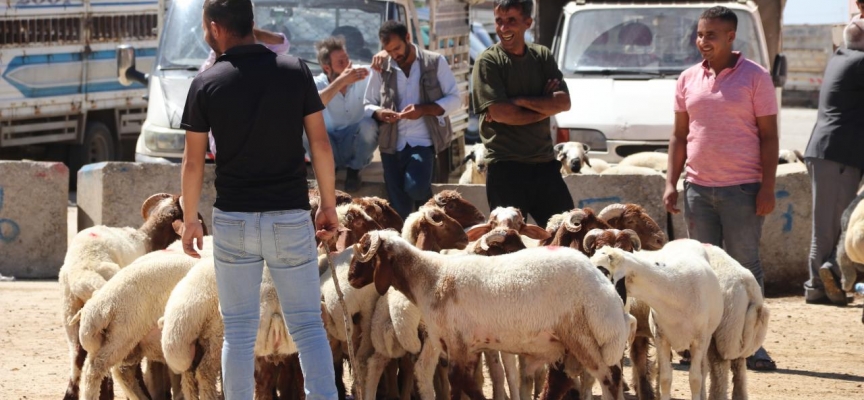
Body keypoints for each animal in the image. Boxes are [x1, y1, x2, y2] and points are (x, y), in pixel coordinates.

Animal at [348, 230, 636, 400]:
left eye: (364, 254)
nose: (350, 278)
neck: (430, 278)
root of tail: (608, 294)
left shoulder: (457, 341)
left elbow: (460, 382)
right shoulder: (464, 345)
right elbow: (463, 383)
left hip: (582, 335)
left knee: (609, 377)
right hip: (568, 344)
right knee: (565, 381)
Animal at [592, 241, 724, 400]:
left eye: (602, 270)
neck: (673, 289)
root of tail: (683, 240)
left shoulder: (699, 341)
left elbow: (695, 379)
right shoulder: (661, 338)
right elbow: (665, 379)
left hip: (707, 339)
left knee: (703, 371)